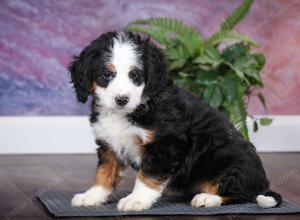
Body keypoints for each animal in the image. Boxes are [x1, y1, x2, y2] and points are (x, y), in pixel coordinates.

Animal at [67, 31, 282, 211]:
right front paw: (92, 196)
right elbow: (104, 172)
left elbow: (147, 176)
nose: (121, 99)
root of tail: (262, 183)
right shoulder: (109, 144)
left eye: (134, 74)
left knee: (242, 194)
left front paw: (136, 200)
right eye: (107, 75)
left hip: (228, 160)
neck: (132, 110)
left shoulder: (165, 144)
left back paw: (208, 198)